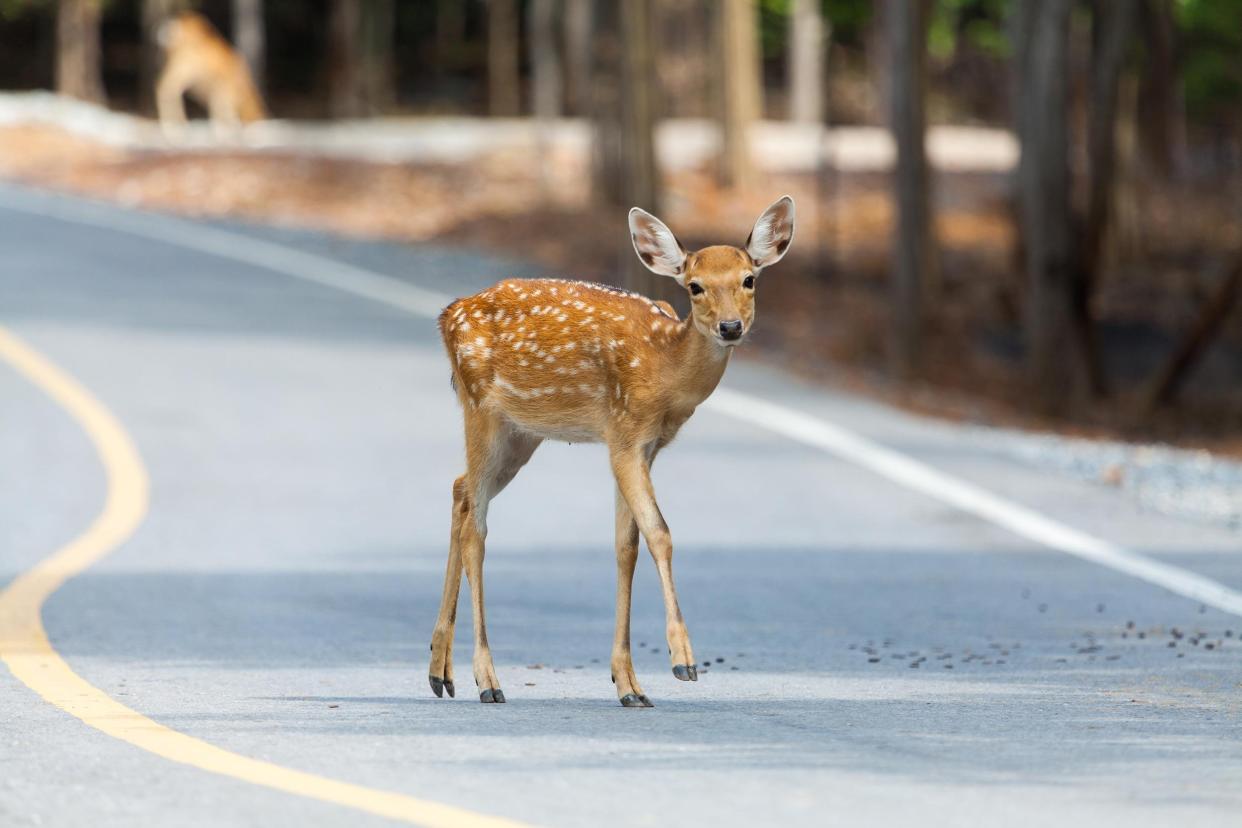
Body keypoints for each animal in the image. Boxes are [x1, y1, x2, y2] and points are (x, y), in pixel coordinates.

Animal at [427, 196, 794, 705]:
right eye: (695, 286)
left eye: (749, 279)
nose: (731, 326)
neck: (664, 370)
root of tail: (447, 316)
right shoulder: (623, 434)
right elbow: (660, 534)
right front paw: (683, 661)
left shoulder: (645, 445)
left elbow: (627, 545)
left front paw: (629, 684)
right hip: (481, 406)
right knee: (476, 528)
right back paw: (487, 679)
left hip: (521, 432)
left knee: (460, 490)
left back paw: (440, 671)